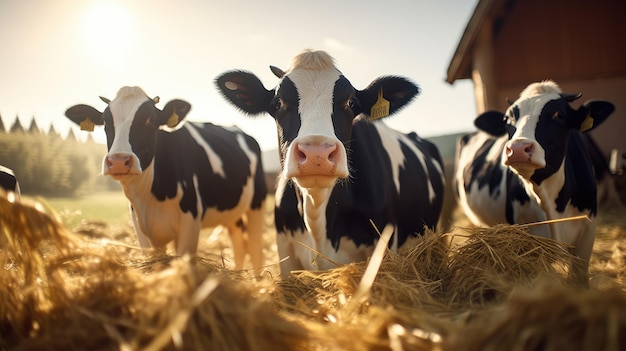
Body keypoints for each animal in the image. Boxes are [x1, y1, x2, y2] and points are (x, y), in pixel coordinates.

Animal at [64, 86, 264, 270]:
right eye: (105, 122)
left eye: (151, 119)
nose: (119, 161)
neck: (148, 198)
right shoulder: (142, 230)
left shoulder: (191, 220)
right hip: (233, 213)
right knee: (238, 243)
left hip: (256, 203)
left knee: (254, 247)